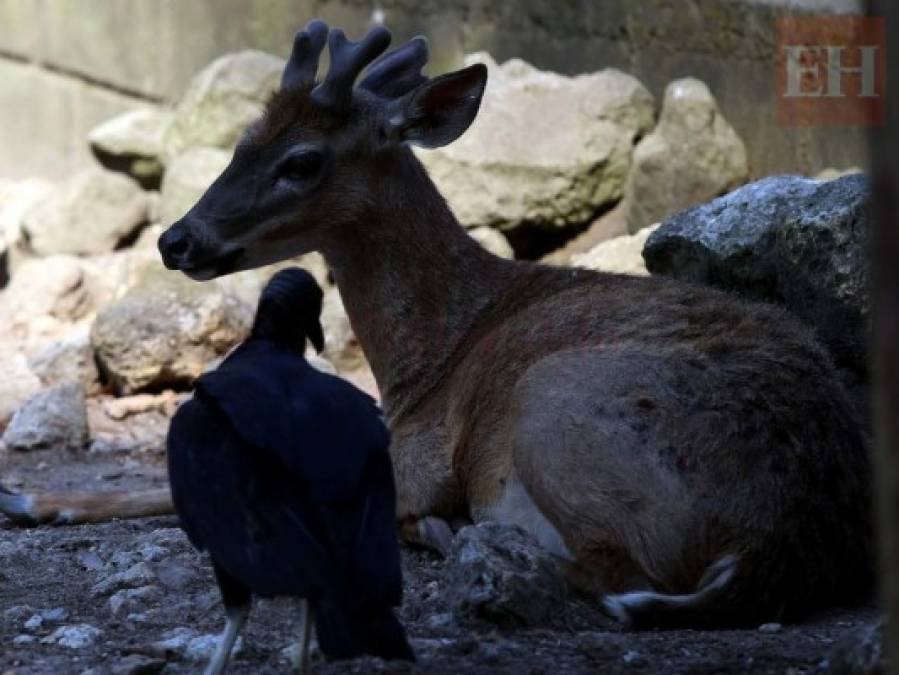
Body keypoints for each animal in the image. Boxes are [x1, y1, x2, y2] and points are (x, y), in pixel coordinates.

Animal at [0, 21, 872, 632]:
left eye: (302, 160)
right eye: (244, 141)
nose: (176, 239)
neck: (423, 359)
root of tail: (776, 535)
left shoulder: (413, 460)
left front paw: (27, 493)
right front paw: (32, 497)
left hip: (557, 402)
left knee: (610, 572)